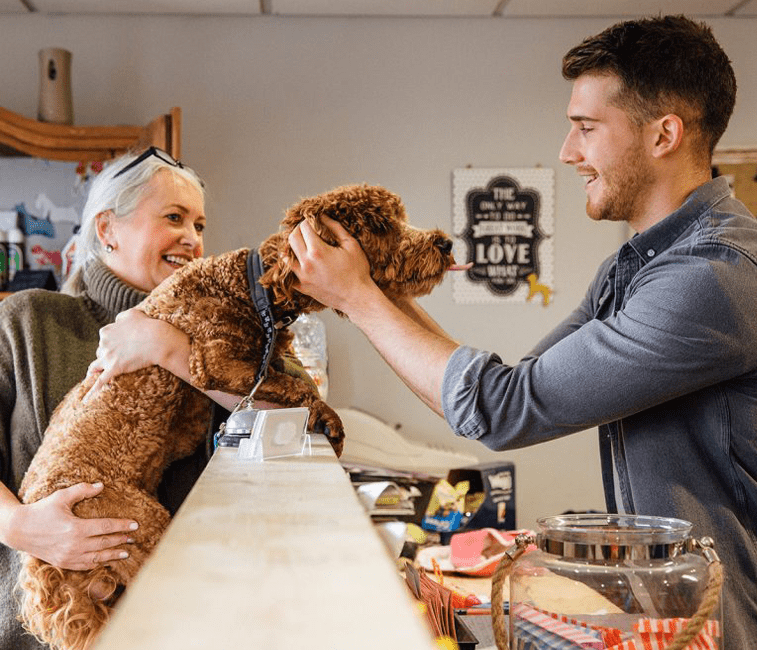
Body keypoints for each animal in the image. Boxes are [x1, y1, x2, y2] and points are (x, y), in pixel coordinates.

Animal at [16, 184, 460, 648]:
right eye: (379, 224)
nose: (445, 243)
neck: (251, 287)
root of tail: (44, 567)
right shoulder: (216, 361)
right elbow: (301, 388)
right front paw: (330, 422)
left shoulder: (259, 368)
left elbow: (291, 379)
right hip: (133, 525)